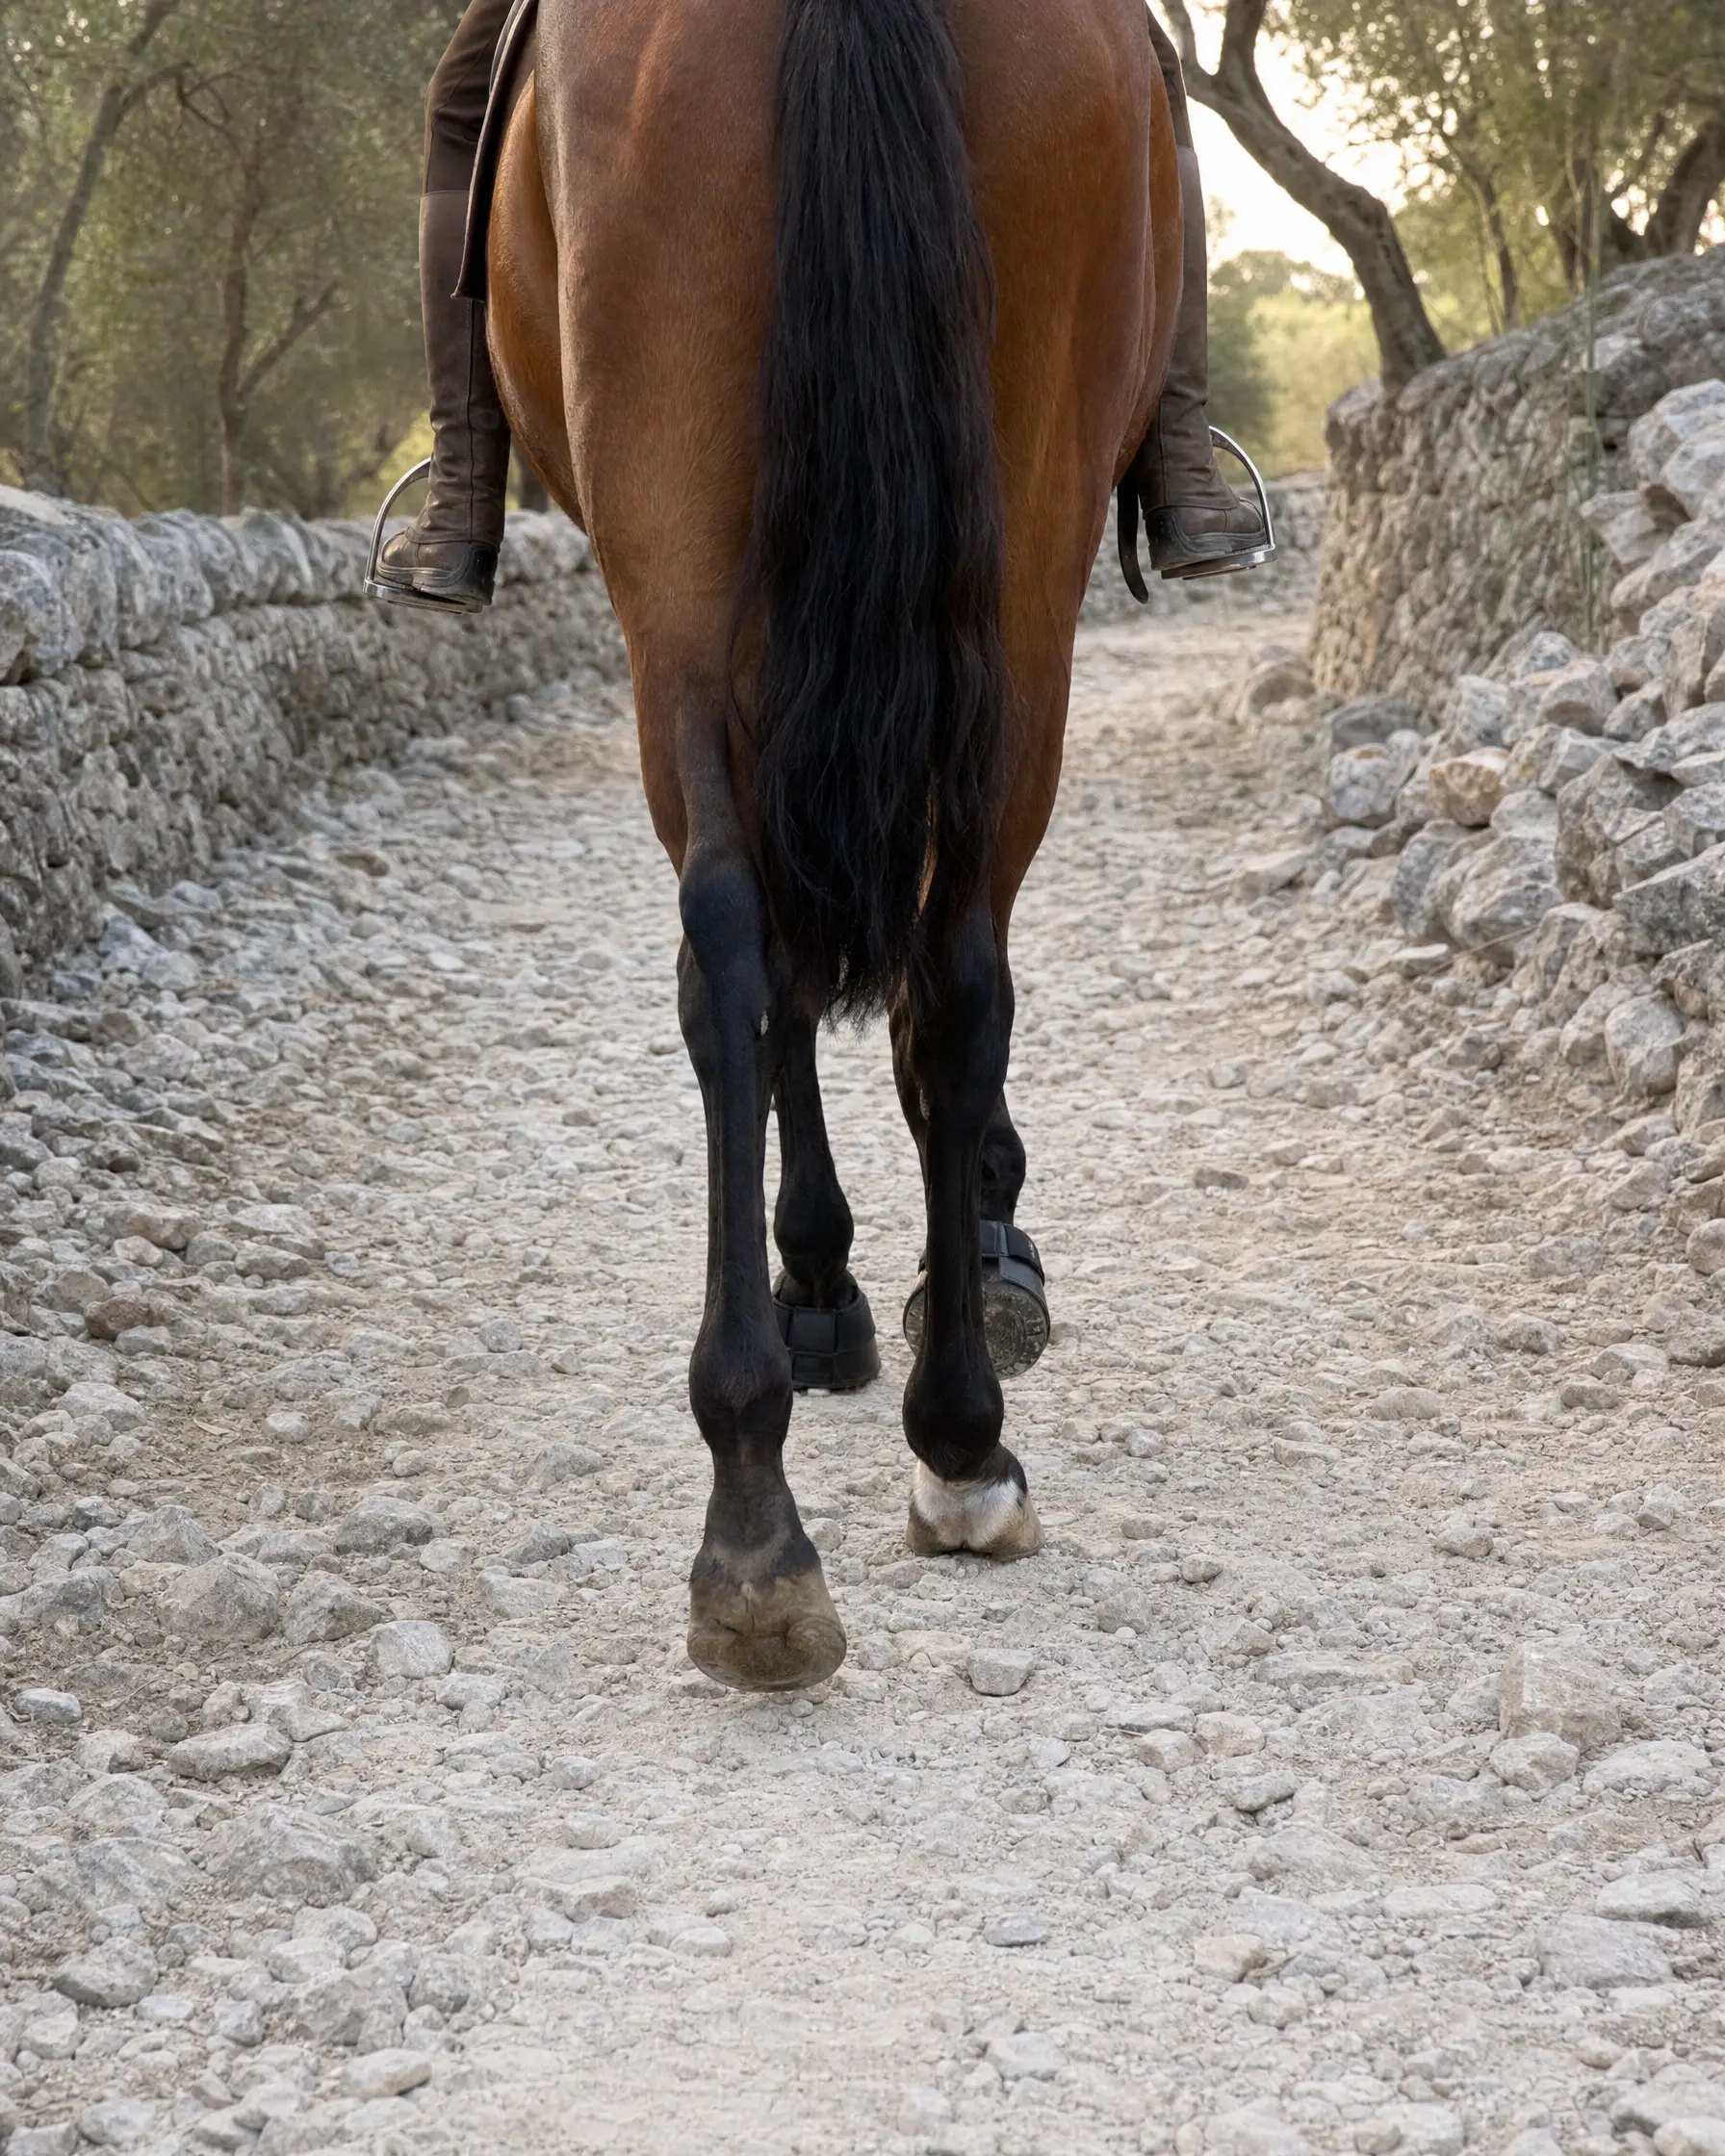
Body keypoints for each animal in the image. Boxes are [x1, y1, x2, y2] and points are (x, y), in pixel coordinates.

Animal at [484, 0, 1181, 1691]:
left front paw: (839, 1279)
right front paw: (934, 1253)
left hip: (689, 563)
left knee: (747, 951)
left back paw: (758, 1514)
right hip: (1009, 578)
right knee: (943, 966)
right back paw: (951, 1440)